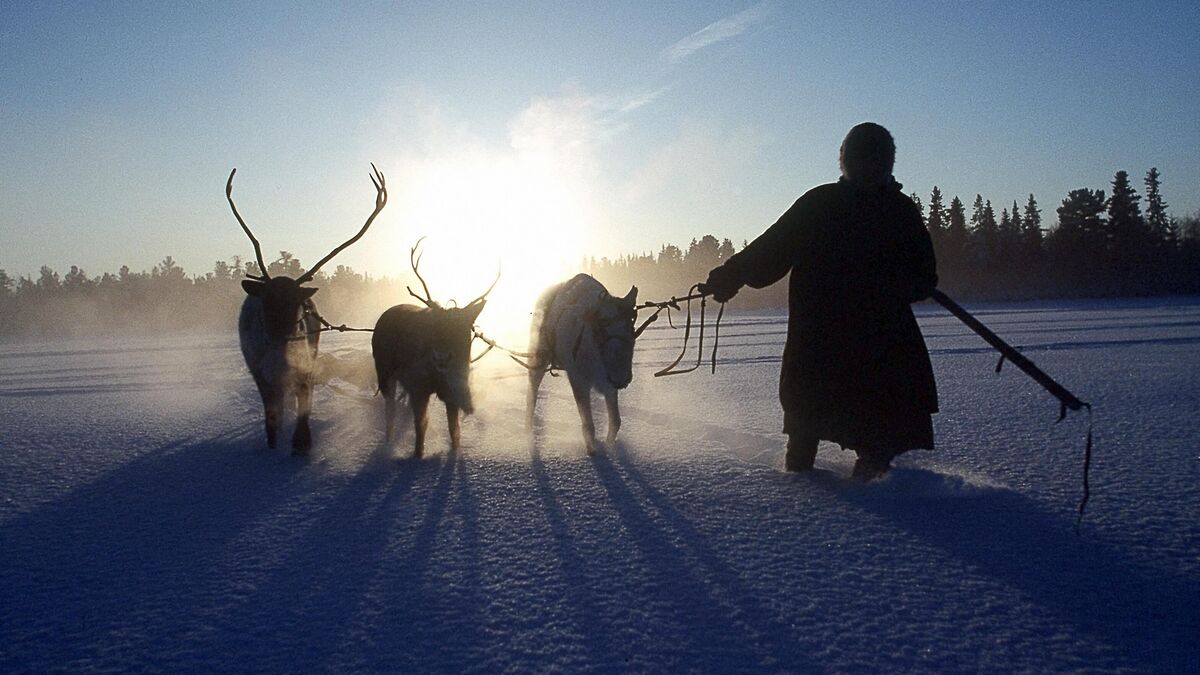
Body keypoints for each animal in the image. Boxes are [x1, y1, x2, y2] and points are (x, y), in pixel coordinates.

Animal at [227, 164, 387, 454]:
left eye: (296, 305)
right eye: (266, 302)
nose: (279, 339)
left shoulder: (305, 367)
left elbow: (305, 407)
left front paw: (302, 443)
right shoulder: (259, 372)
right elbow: (271, 415)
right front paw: (273, 444)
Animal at [371, 238, 497, 457]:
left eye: (463, 329)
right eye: (435, 325)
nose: (442, 357)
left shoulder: (450, 393)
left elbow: (454, 430)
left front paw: (455, 452)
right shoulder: (418, 386)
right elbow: (421, 425)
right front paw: (417, 454)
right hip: (384, 371)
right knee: (390, 410)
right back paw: (387, 443)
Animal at [526, 274, 638, 455]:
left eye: (631, 325)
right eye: (601, 326)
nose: (621, 377)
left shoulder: (608, 384)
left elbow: (616, 421)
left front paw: (609, 445)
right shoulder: (578, 380)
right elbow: (589, 424)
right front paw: (593, 451)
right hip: (539, 359)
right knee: (532, 394)